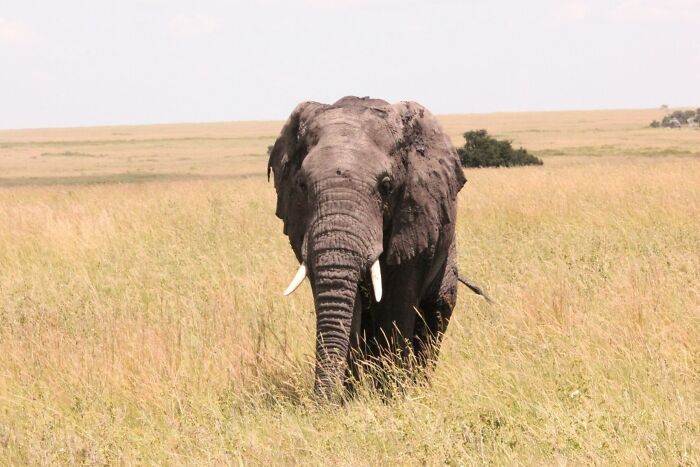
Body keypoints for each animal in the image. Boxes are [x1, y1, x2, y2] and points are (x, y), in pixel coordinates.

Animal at [267, 96, 467, 398]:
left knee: (436, 314)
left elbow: (396, 304)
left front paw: (393, 395)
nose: (318, 403)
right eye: (301, 184)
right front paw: (351, 398)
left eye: (386, 185)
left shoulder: (414, 218)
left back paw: (418, 384)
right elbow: (349, 309)